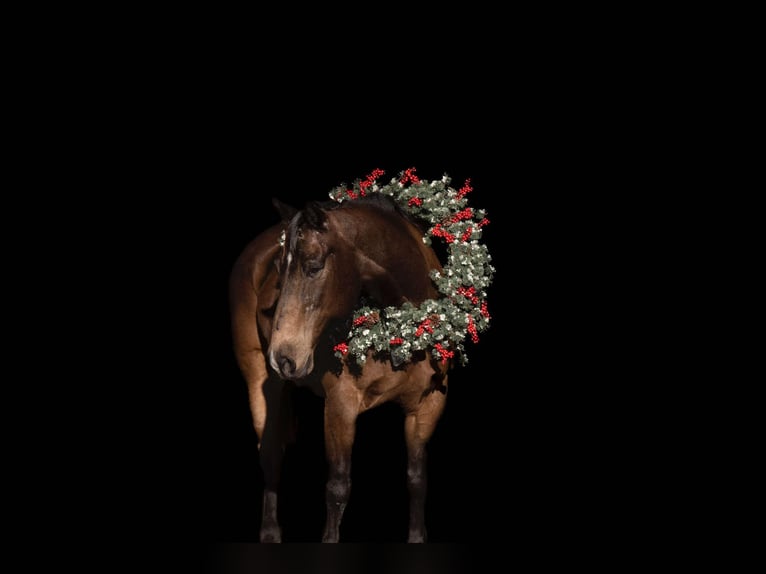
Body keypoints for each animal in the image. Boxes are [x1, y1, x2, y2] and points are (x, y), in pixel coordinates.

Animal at [229, 193, 451, 543]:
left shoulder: (428, 405)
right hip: (259, 378)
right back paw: (270, 532)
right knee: (270, 454)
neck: (403, 328)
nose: (283, 357)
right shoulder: (340, 406)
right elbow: (338, 487)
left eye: (314, 267)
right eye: (279, 270)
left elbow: (417, 479)